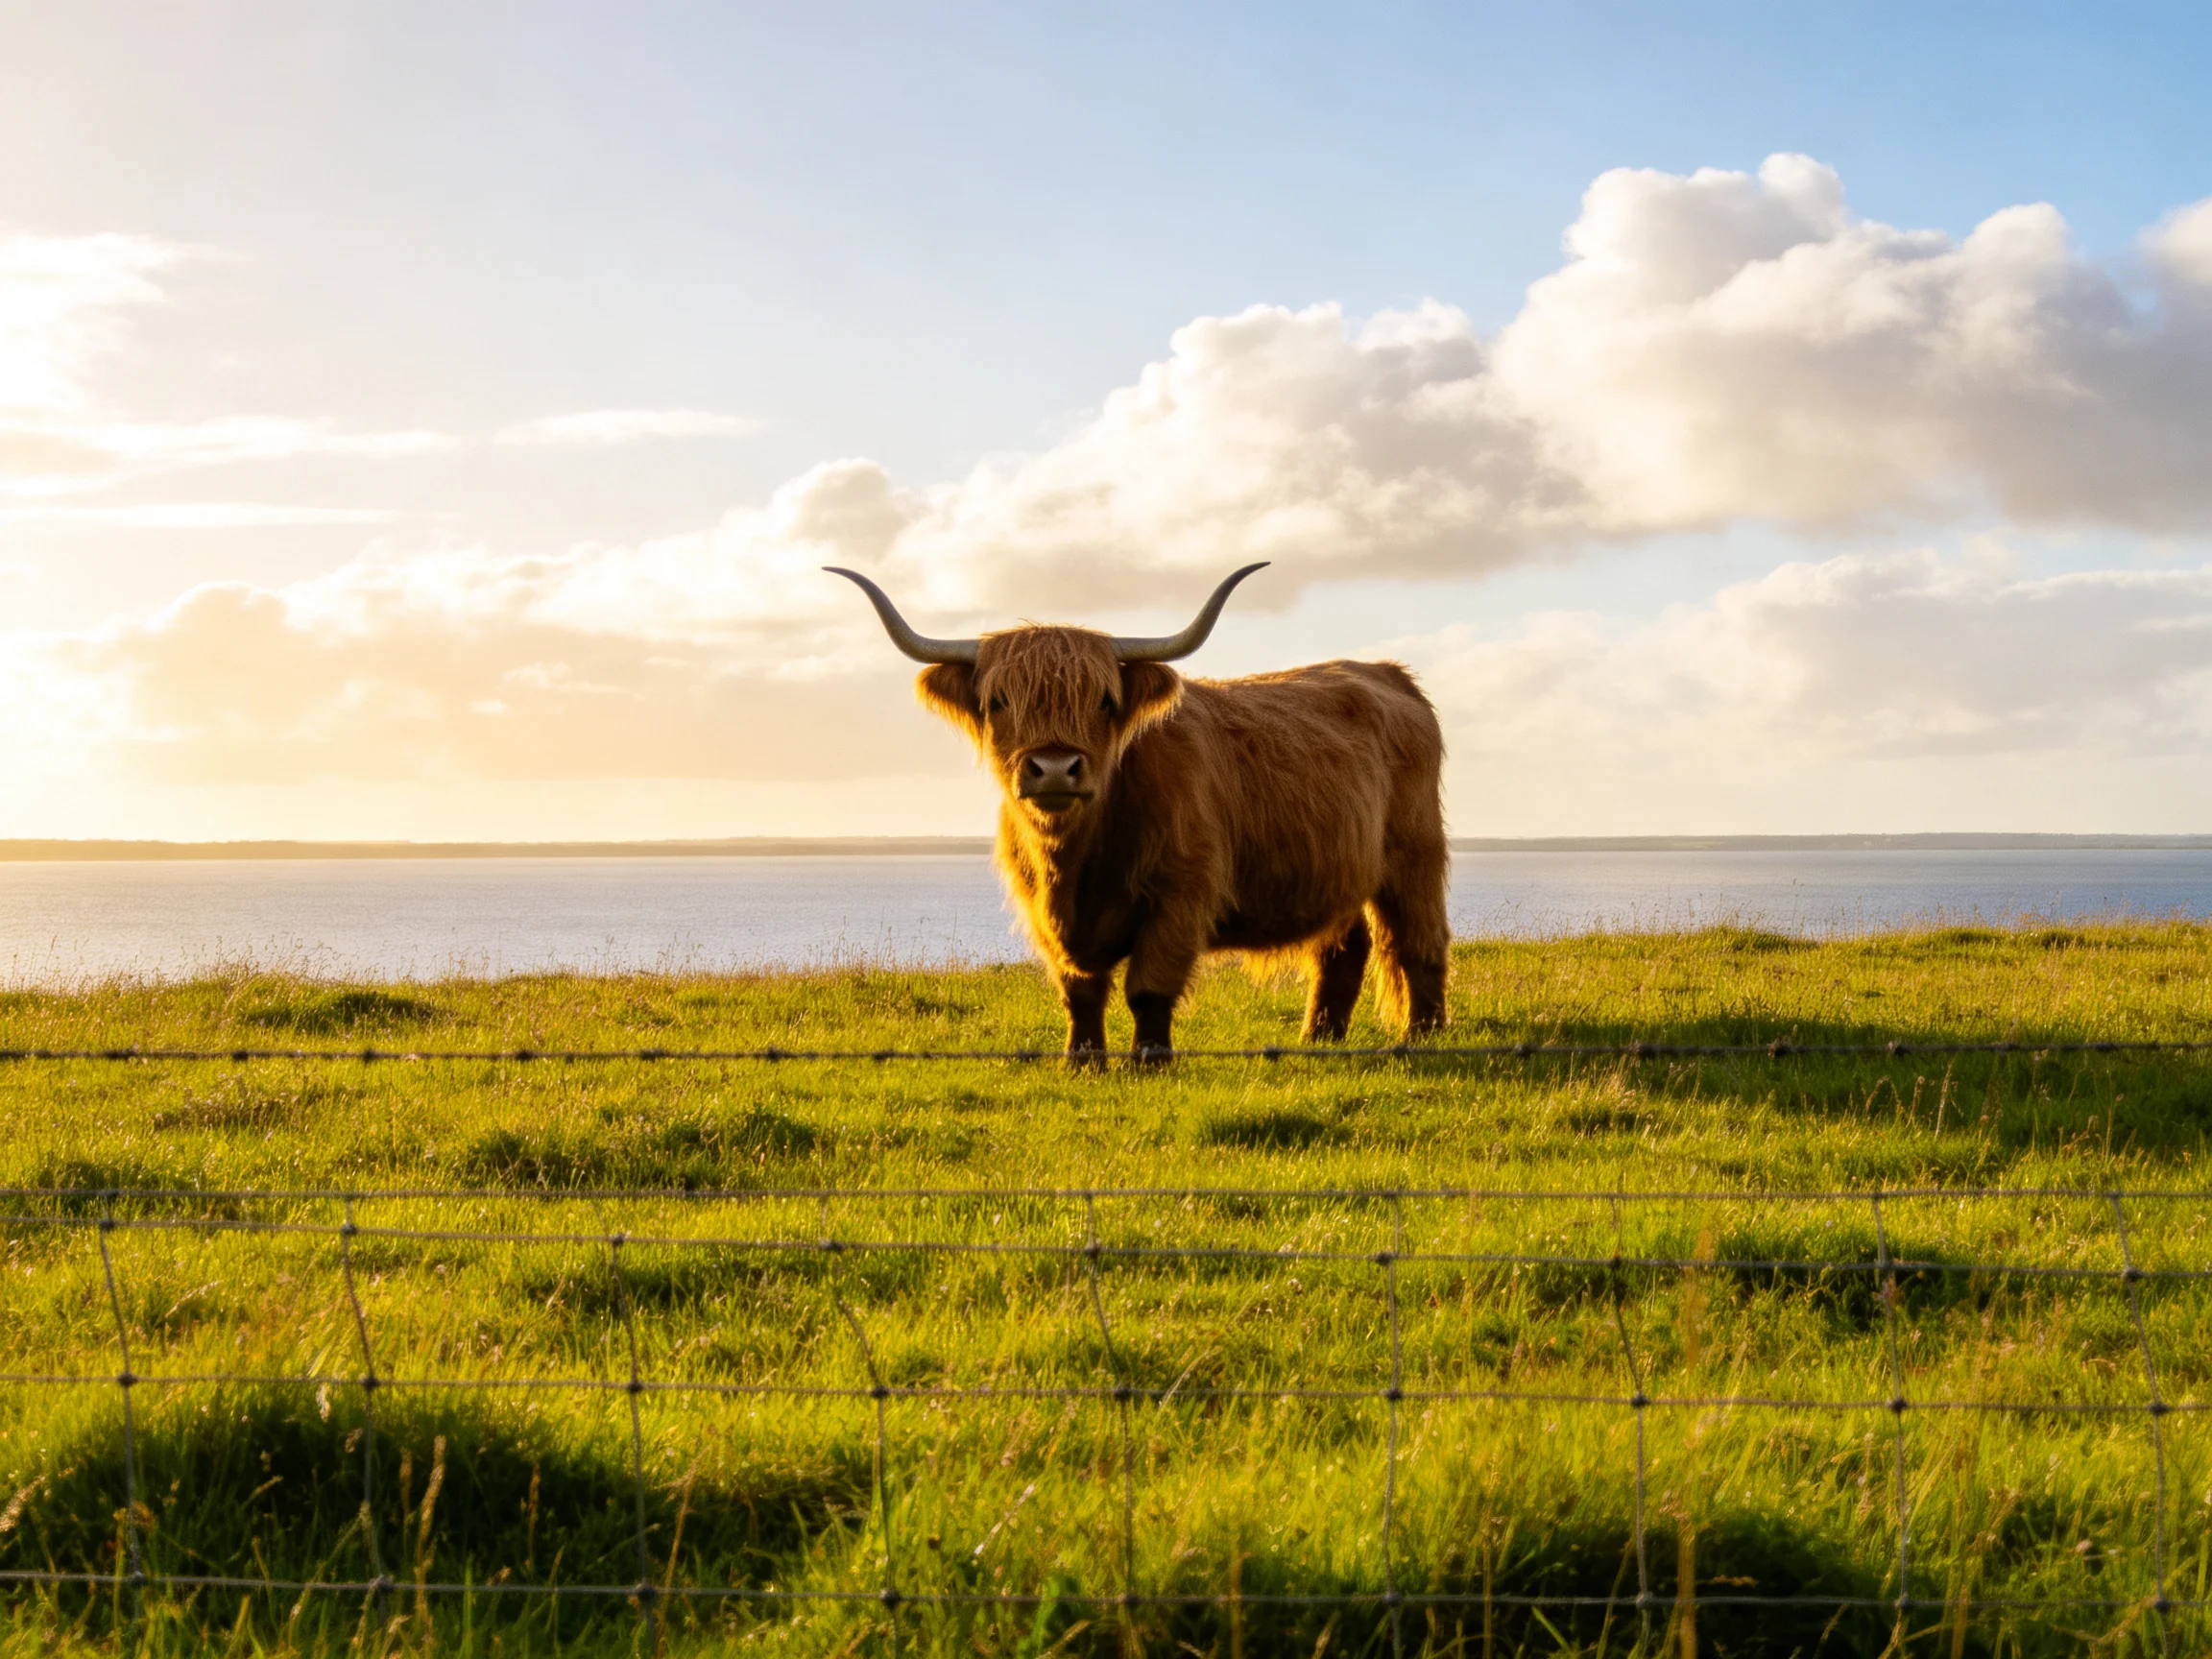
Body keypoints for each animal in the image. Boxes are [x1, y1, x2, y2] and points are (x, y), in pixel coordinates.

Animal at [829, 563, 1450, 1058]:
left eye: (1105, 700)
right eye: (999, 701)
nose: (1055, 768)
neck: (1076, 863)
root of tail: (1388, 673)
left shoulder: (1181, 895)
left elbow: (1148, 988)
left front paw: (1149, 1060)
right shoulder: (1043, 913)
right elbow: (1079, 991)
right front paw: (1082, 1061)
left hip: (1414, 853)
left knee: (1420, 939)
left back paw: (1423, 1037)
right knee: (1343, 947)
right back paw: (1319, 1038)